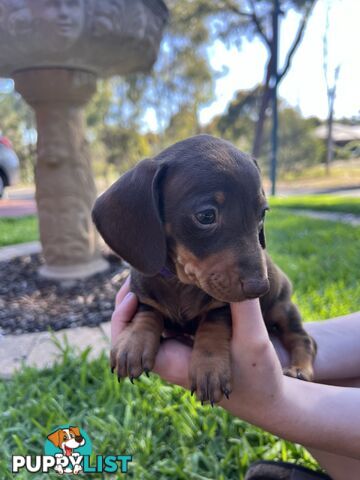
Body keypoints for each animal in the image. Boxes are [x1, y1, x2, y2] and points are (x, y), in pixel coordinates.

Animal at [92, 133, 316, 404]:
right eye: (206, 216)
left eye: (261, 214)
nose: (260, 287)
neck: (180, 282)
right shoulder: (142, 295)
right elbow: (147, 311)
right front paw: (133, 342)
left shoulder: (223, 306)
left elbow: (214, 321)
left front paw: (209, 367)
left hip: (283, 307)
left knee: (303, 338)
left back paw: (300, 369)